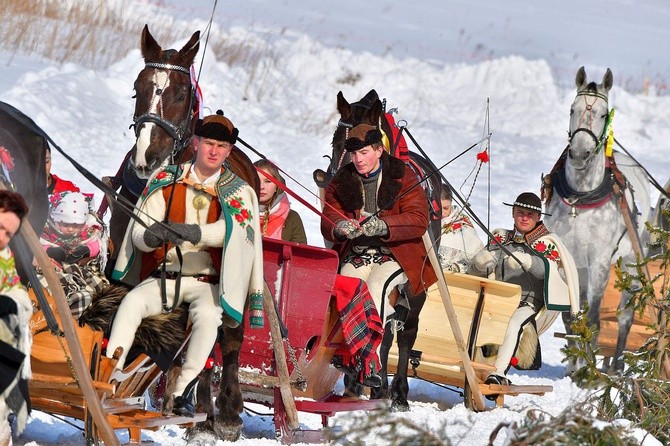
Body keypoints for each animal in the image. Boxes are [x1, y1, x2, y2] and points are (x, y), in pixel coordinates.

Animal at [316, 89, 444, 412]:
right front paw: (356, 378)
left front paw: (386, 387)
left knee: (405, 331)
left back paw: (396, 391)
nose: (334, 180)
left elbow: (394, 333)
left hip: (413, 286)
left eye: (360, 144)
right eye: (336, 141)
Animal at [544, 66, 652, 372]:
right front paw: (574, 365)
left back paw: (615, 367)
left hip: (631, 262)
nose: (579, 154)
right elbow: (571, 317)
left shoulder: (600, 261)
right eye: (572, 109)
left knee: (625, 315)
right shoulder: (566, 258)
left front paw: (587, 369)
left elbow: (592, 318)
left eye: (604, 114)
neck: (581, 196)